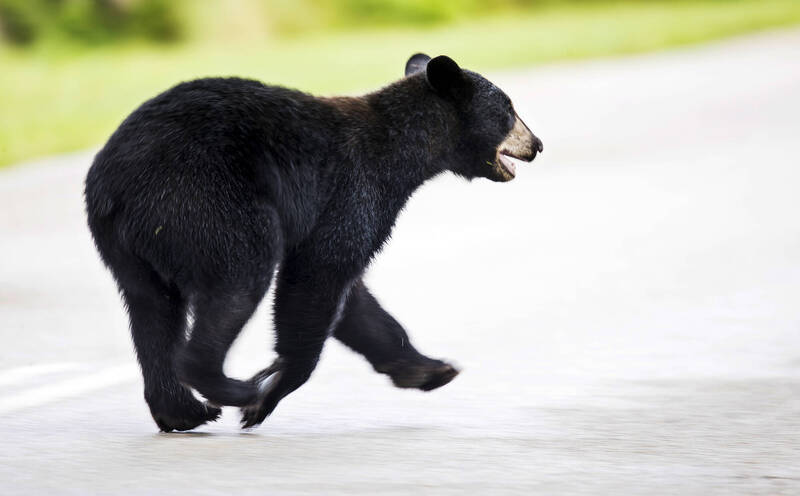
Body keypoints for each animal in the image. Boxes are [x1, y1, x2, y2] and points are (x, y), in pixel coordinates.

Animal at [83, 52, 544, 428]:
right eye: (509, 109)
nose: (537, 144)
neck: (403, 151)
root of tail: (112, 181)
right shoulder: (354, 191)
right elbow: (318, 277)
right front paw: (268, 393)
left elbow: (356, 301)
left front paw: (429, 368)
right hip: (204, 202)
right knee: (239, 278)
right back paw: (232, 388)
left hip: (130, 245)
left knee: (152, 309)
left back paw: (182, 411)